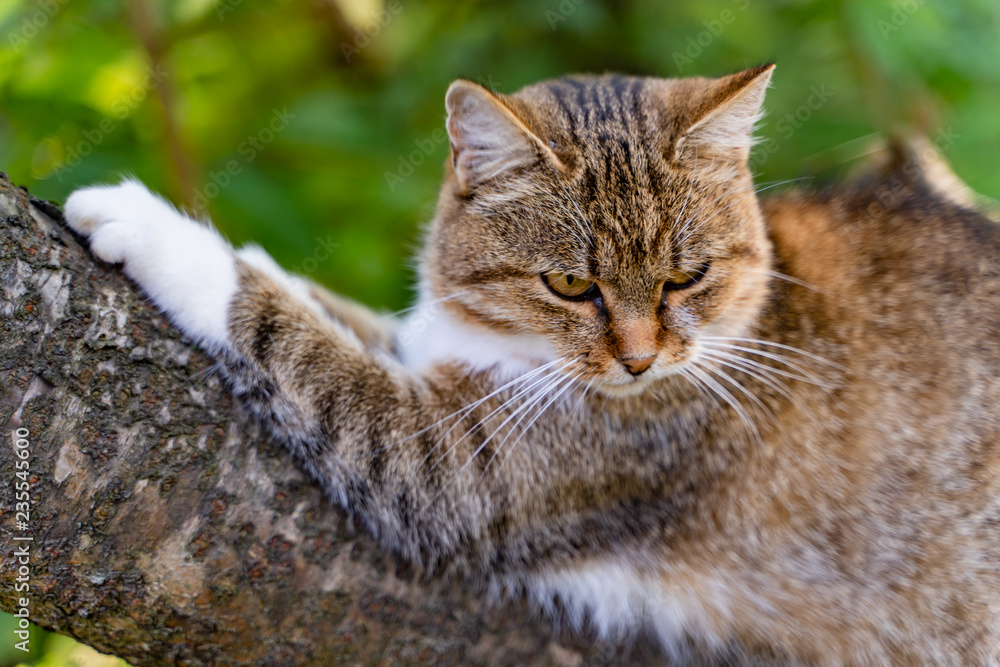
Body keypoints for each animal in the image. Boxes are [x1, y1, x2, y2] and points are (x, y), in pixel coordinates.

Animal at [64, 64, 1000, 667]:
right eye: (571, 283)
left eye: (686, 276)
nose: (639, 360)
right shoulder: (430, 353)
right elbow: (335, 309)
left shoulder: (442, 461)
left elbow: (286, 327)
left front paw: (150, 222)